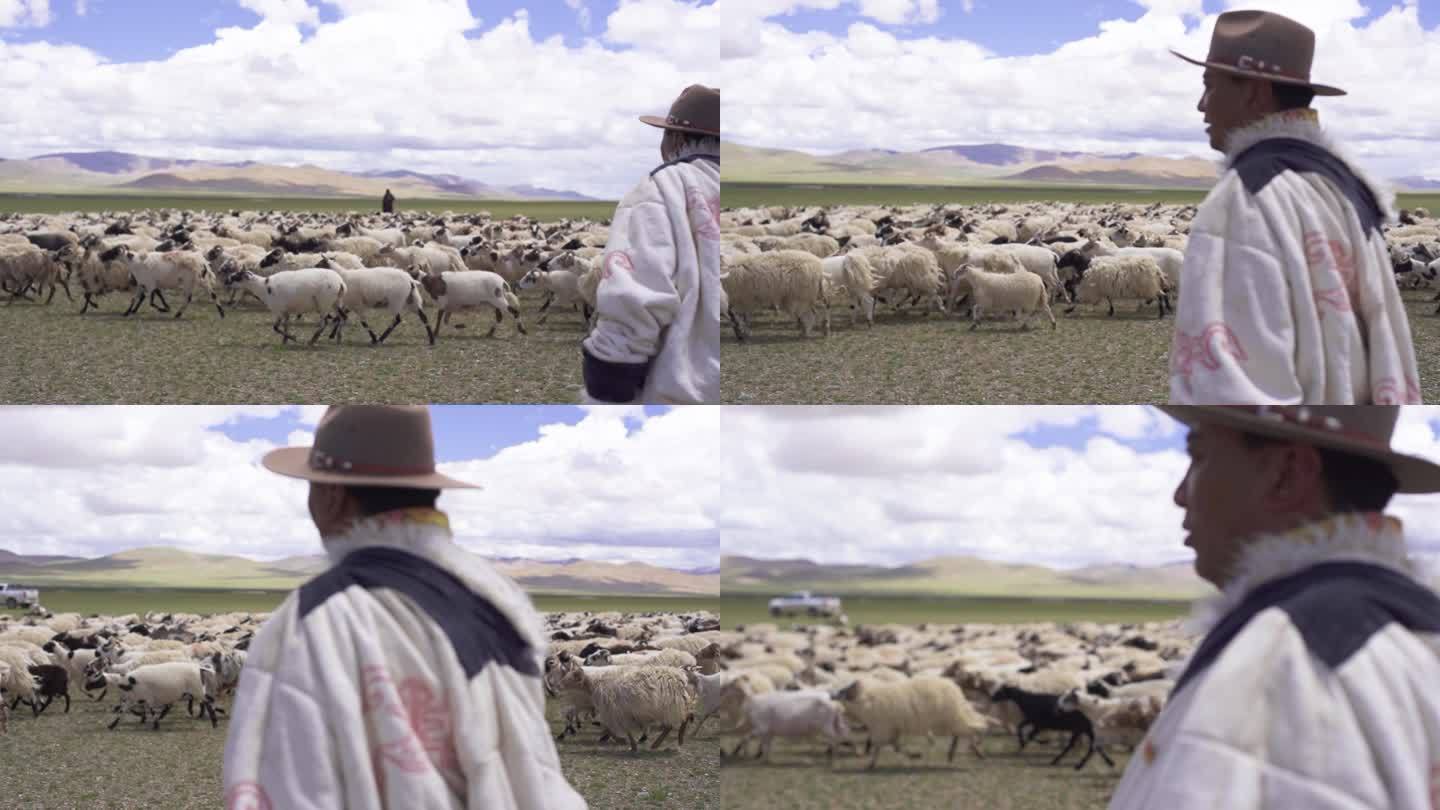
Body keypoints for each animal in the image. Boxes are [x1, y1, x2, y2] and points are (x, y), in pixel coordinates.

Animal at [218, 263, 348, 341]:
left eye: (236, 277)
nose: (225, 281)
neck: (263, 287)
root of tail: (340, 282)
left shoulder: (278, 310)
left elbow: (275, 327)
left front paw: (293, 338)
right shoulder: (285, 312)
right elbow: (286, 325)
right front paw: (285, 341)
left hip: (324, 304)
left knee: (324, 323)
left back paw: (312, 340)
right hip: (336, 302)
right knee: (342, 317)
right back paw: (337, 338)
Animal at [835, 671, 990, 766]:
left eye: (845, 691)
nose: (834, 695)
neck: (867, 698)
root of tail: (956, 689)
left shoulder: (883, 727)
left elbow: (882, 746)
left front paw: (871, 763)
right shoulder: (891, 729)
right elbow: (896, 746)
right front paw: (913, 755)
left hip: (950, 718)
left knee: (970, 730)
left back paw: (975, 750)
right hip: (950, 719)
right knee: (964, 731)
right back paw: (957, 752)